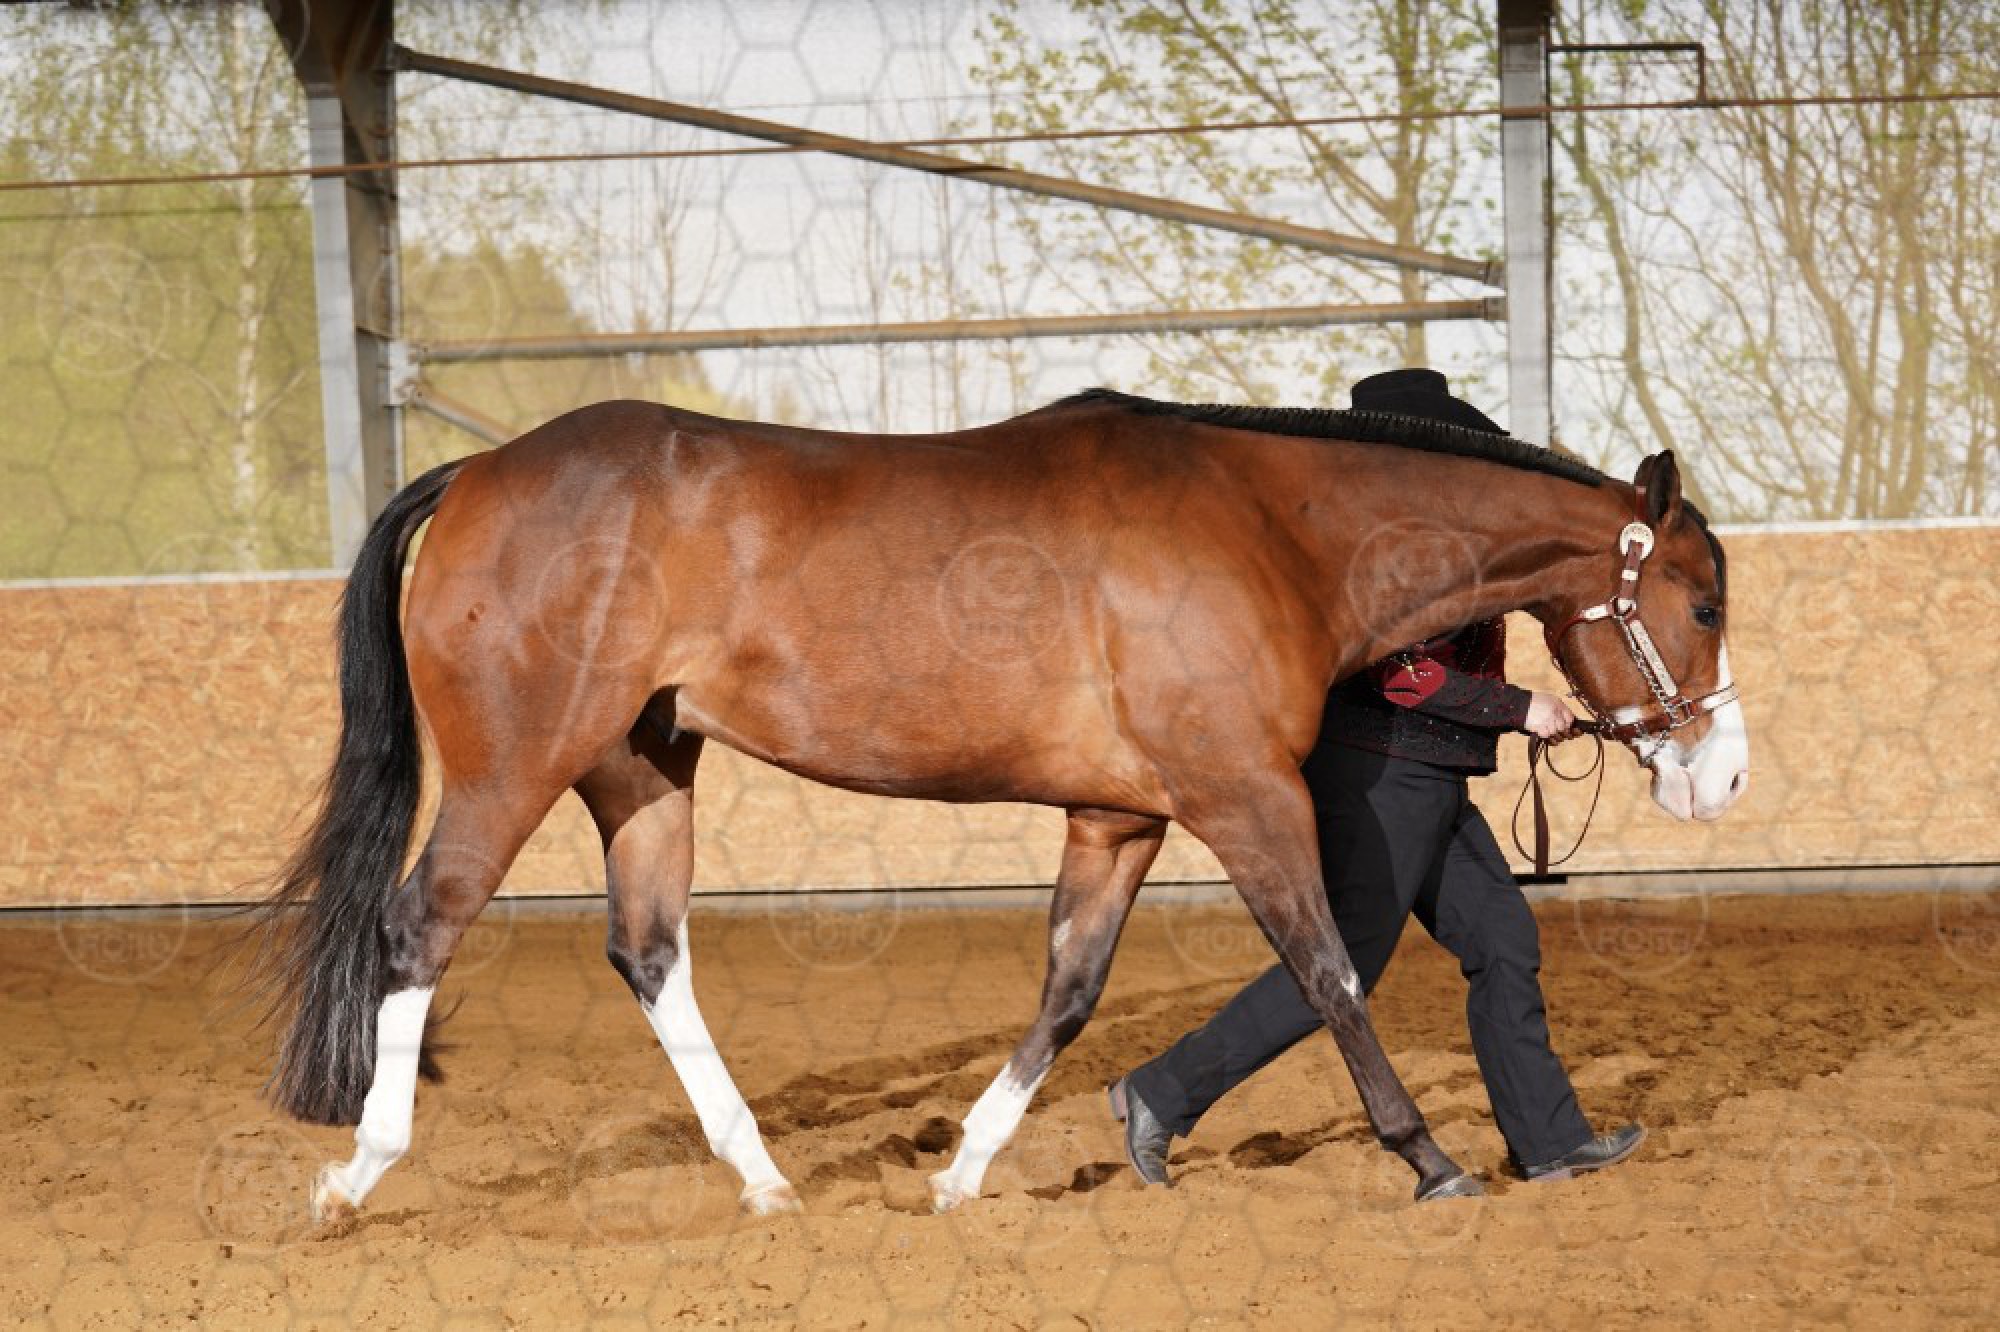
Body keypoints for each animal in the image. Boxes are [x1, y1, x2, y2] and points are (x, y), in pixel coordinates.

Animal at [247, 386, 1749, 1222]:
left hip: (645, 769)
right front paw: (1432, 1162)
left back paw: (767, 1184)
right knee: (419, 929)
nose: (1720, 775)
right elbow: (1327, 969)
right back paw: (355, 1177)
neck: (1272, 530)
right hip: (517, 762)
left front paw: (965, 1175)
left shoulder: (1120, 817)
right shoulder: (1243, 795)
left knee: (650, 955)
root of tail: (480, 473)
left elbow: (1070, 993)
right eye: (1703, 602)